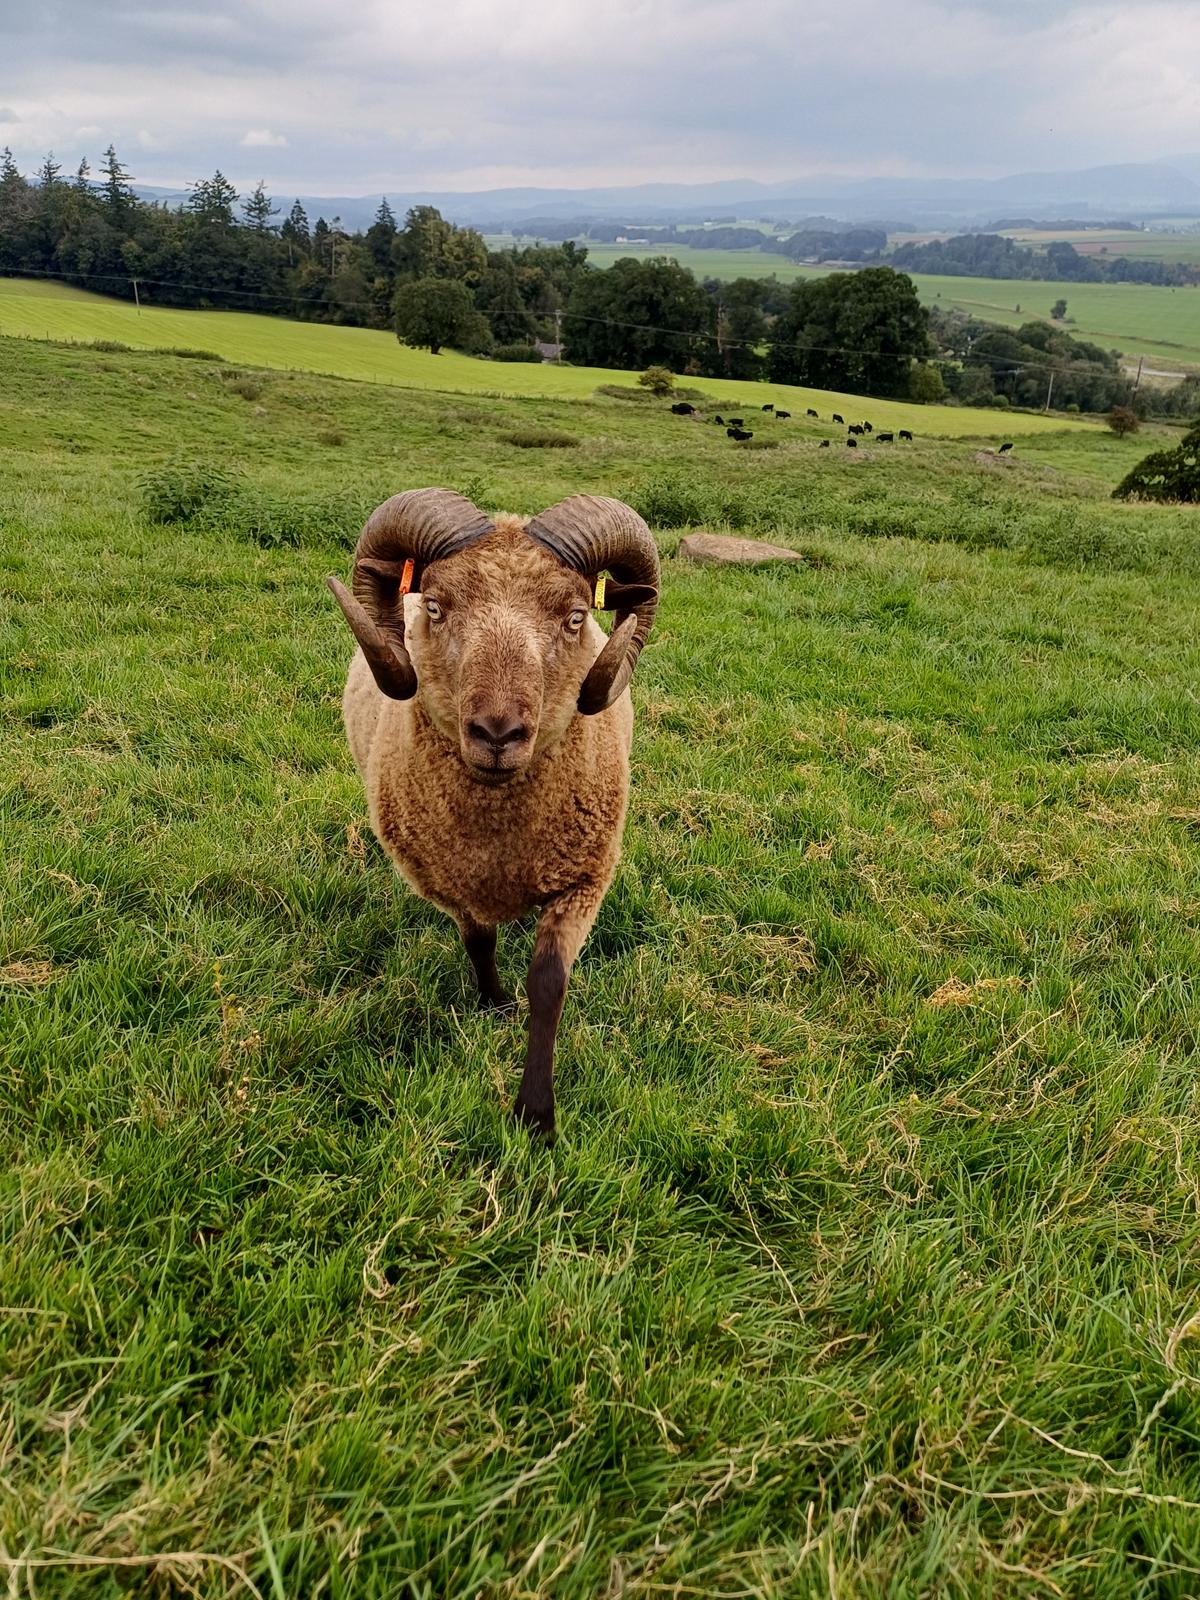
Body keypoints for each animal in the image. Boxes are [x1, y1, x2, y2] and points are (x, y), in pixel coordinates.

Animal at [326, 488, 660, 1139]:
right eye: (435, 607)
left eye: (574, 617)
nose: (497, 733)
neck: (501, 839)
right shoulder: (448, 881)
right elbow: (478, 943)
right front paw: (493, 1002)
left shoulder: (585, 879)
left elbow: (549, 982)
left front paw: (536, 1114)